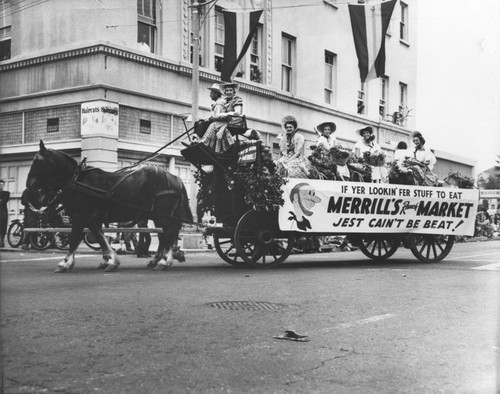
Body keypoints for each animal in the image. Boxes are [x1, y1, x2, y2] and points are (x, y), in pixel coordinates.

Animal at [25, 140, 193, 272]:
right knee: (167, 234)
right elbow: (100, 238)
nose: (28, 185)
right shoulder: (91, 220)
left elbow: (74, 239)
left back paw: (164, 260)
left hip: (162, 214)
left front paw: (65, 263)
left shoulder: (79, 217)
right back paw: (161, 259)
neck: (77, 180)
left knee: (168, 233)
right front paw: (110, 260)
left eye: (38, 160)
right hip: (160, 215)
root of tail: (176, 178)